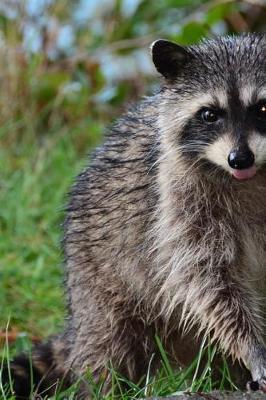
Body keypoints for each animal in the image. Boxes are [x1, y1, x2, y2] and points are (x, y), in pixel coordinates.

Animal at [2, 33, 266, 396]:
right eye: (209, 114)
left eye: (263, 107)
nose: (240, 160)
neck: (253, 177)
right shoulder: (177, 203)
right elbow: (209, 279)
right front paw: (253, 348)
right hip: (100, 283)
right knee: (109, 348)